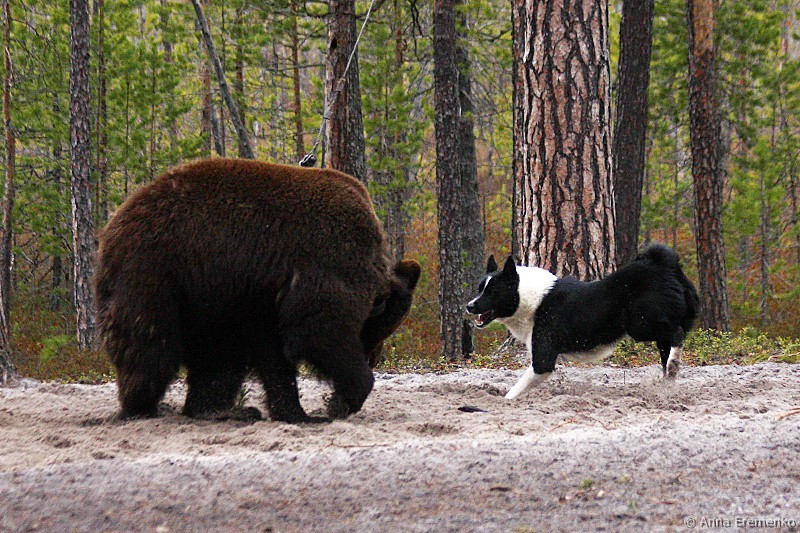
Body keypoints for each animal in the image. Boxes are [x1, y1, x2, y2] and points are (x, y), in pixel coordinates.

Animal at [95, 157, 421, 423]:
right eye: (377, 332)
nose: (374, 358)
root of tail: (113, 226)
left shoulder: (264, 301)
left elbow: (274, 357)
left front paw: (300, 413)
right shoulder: (325, 263)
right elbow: (321, 331)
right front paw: (338, 403)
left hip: (211, 298)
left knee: (217, 355)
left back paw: (223, 410)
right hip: (159, 273)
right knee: (152, 345)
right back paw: (140, 406)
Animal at [466, 244, 699, 399]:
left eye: (493, 292)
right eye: (480, 289)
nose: (469, 306)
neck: (527, 296)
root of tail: (665, 265)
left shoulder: (542, 362)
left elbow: (514, 391)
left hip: (641, 325)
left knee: (677, 334)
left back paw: (673, 366)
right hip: (652, 331)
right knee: (668, 354)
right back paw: (667, 383)